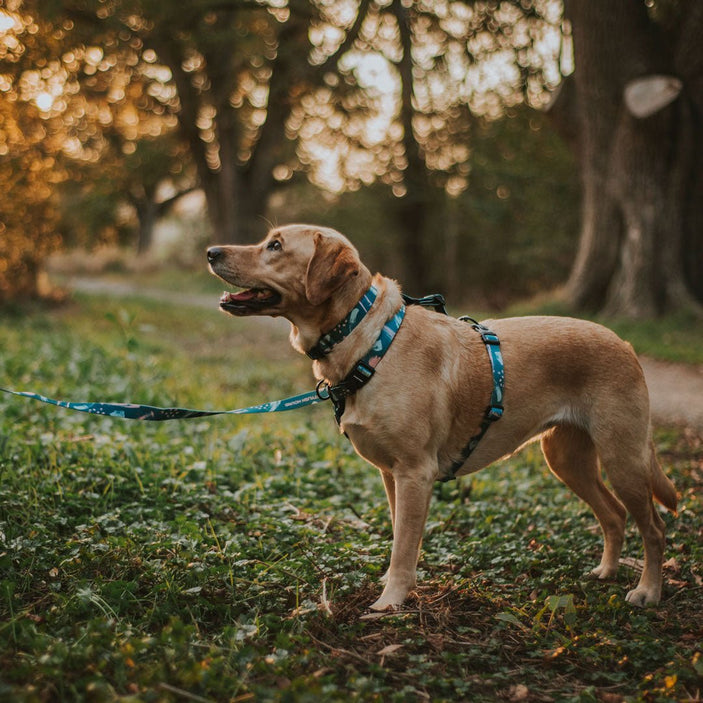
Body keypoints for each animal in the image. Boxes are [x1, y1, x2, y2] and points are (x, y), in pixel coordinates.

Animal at [206, 226, 680, 612]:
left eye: (275, 246)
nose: (211, 251)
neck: (365, 339)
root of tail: (624, 343)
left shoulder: (415, 473)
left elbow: (404, 545)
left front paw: (391, 601)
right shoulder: (392, 475)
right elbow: (401, 536)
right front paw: (396, 585)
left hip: (623, 457)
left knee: (655, 528)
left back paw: (648, 592)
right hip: (567, 460)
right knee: (614, 515)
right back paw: (607, 572)